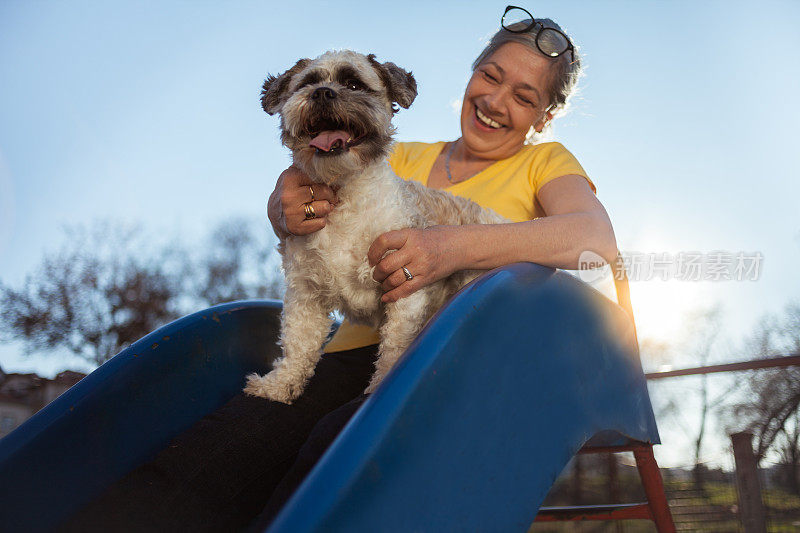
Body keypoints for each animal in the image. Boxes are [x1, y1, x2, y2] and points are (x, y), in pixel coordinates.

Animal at [244, 52, 506, 406]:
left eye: (354, 84)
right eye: (308, 83)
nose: (322, 93)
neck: (344, 196)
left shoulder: (405, 285)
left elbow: (395, 348)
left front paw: (380, 386)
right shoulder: (305, 291)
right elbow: (298, 343)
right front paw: (280, 385)